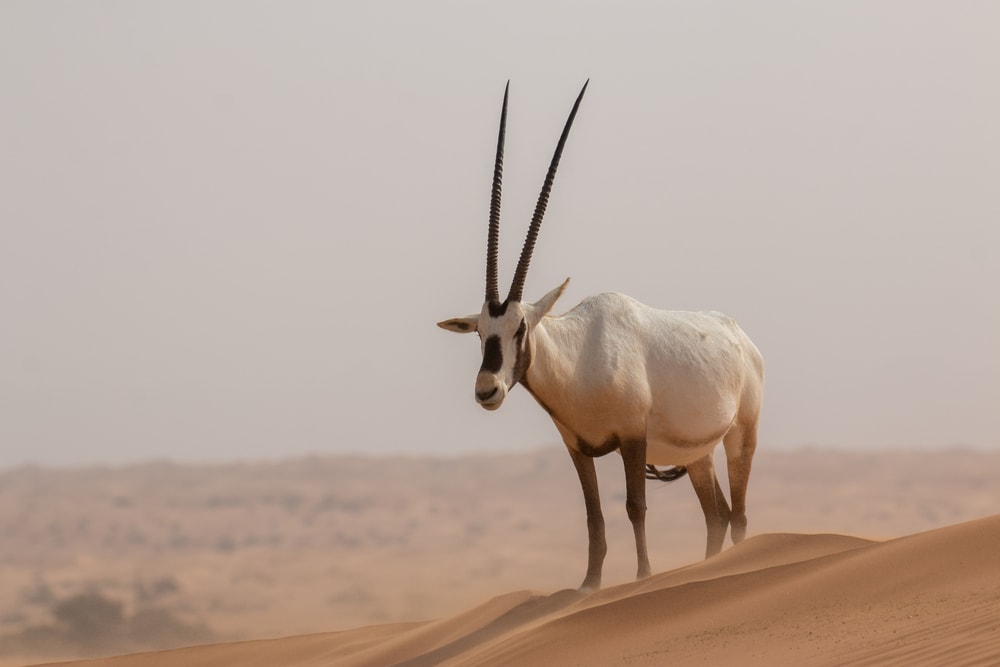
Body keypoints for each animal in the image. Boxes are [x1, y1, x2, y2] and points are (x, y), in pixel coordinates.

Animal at [438, 82, 764, 591]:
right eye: (479, 332)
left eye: (520, 327)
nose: (487, 390)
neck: (580, 356)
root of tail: (743, 340)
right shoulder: (578, 447)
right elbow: (594, 516)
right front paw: (589, 585)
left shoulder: (632, 437)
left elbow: (635, 506)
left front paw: (643, 576)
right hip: (698, 455)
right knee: (718, 516)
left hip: (741, 436)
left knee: (741, 516)